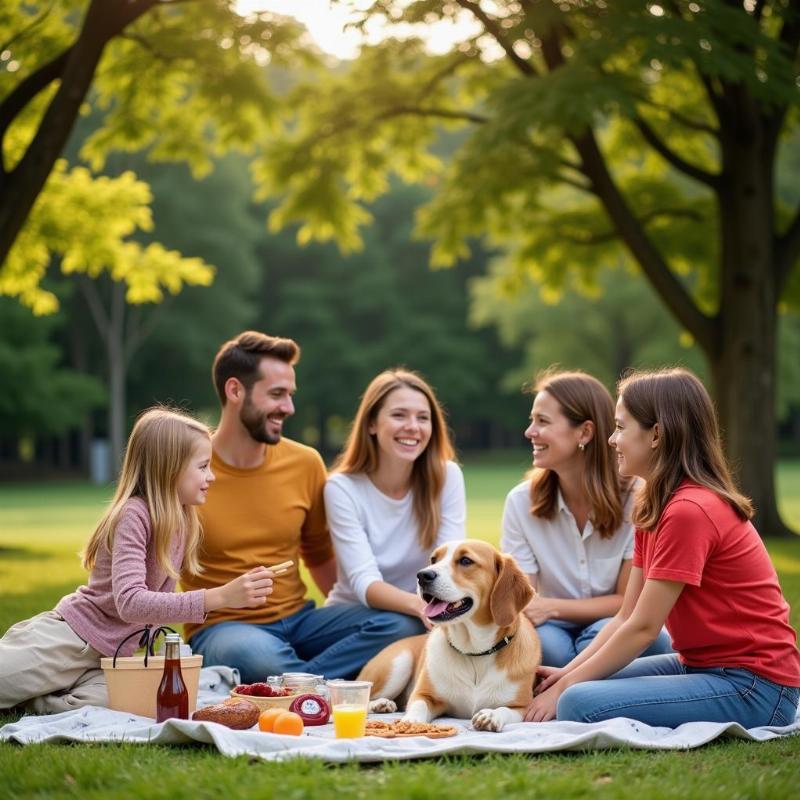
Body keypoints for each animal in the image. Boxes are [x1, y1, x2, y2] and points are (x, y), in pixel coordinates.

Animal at [358, 536, 540, 732]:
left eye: (466, 561)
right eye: (433, 560)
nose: (422, 575)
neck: (474, 652)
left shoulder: (523, 707)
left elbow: (504, 709)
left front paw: (491, 715)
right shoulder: (423, 695)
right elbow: (418, 705)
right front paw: (411, 720)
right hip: (399, 663)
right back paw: (381, 703)